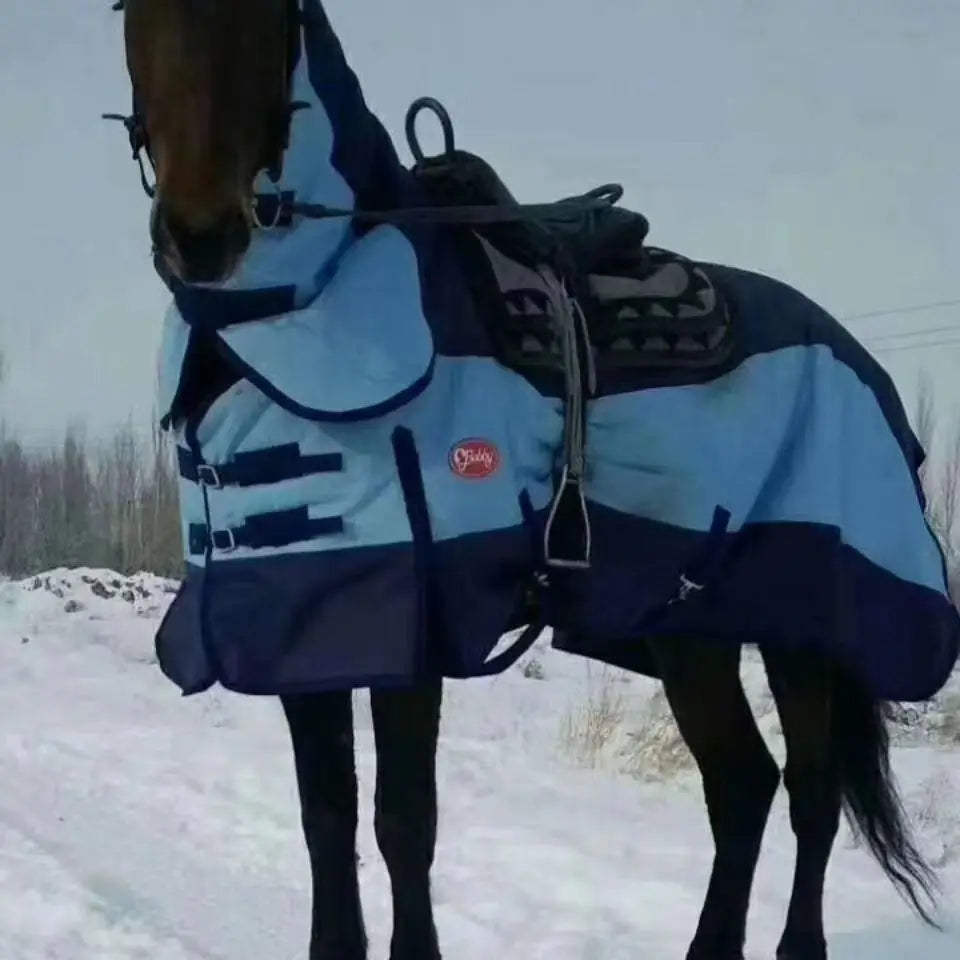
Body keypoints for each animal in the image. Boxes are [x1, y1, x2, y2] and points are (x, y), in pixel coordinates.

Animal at [110, 2, 959, 959]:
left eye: (267, 16)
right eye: (128, 13)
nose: (199, 234)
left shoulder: (412, 615)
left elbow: (403, 823)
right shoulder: (298, 617)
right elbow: (326, 820)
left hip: (805, 624)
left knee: (811, 795)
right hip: (691, 626)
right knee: (744, 785)